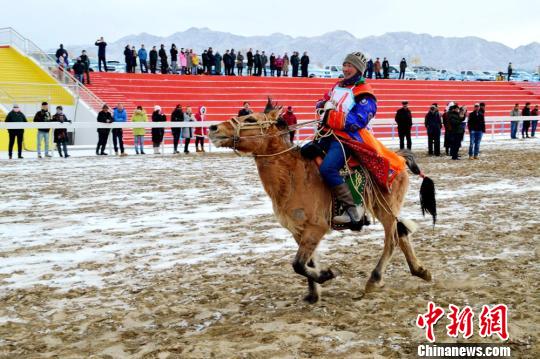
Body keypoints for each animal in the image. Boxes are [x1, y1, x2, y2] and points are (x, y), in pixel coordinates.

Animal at [209, 101, 436, 304]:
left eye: (251, 119)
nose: (213, 128)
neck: (293, 176)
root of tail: (399, 158)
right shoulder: (298, 230)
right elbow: (306, 262)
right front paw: (313, 294)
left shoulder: (316, 228)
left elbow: (298, 264)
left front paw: (327, 274)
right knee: (402, 232)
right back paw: (421, 271)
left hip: (385, 209)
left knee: (392, 239)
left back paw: (374, 279)